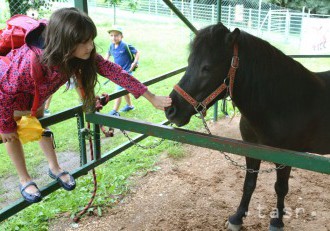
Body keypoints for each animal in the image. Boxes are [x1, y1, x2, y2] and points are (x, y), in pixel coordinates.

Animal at [166, 23, 330, 231]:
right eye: (189, 62)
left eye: (206, 68)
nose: (171, 110)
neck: (285, 102)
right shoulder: (251, 149)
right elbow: (249, 183)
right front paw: (237, 217)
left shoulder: (285, 158)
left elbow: (281, 188)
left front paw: (277, 221)